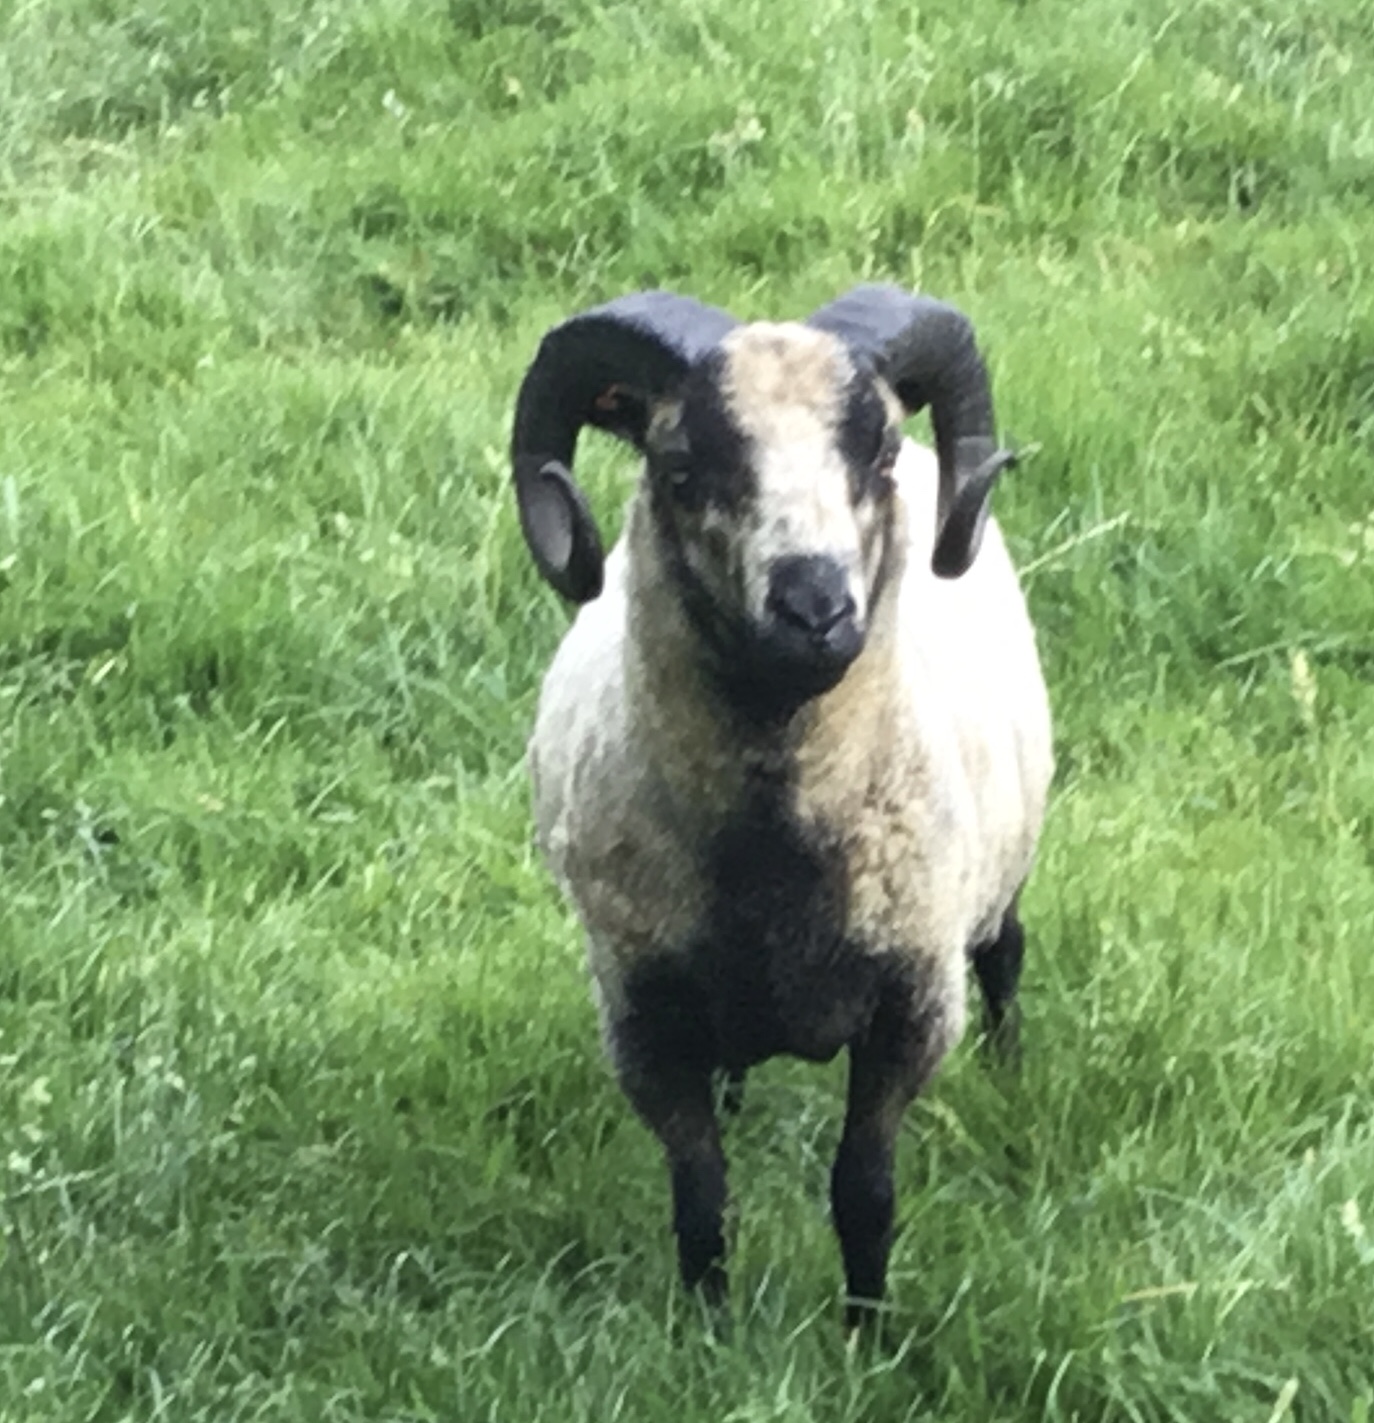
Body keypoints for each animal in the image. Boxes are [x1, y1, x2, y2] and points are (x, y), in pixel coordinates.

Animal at [509, 285, 1054, 1326]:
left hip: (1001, 864)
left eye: (877, 454)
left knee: (1005, 953)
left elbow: (864, 1192)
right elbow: (701, 1192)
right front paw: (707, 1330)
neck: (773, 850)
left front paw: (868, 1335)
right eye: (680, 466)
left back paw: (1013, 1076)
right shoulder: (643, 1013)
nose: (815, 609)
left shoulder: (912, 1005)